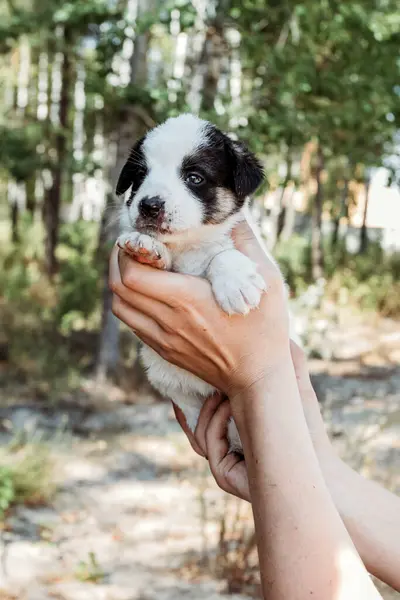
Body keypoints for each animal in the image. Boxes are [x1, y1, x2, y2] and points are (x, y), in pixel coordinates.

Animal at [115, 113, 290, 450]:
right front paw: (146, 245)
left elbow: (223, 254)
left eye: (194, 178)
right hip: (167, 379)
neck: (191, 245)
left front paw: (235, 282)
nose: (149, 205)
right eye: (141, 175)